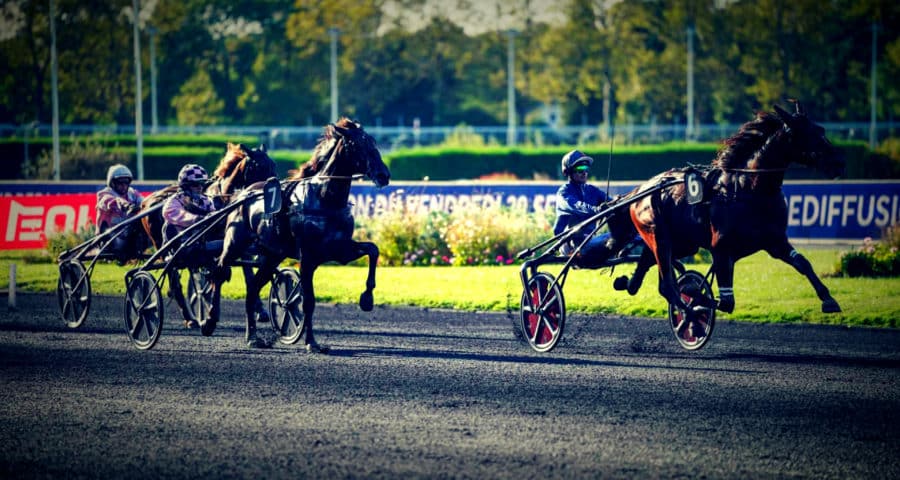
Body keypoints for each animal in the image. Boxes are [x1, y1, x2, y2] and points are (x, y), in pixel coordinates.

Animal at [138, 141, 274, 324]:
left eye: (273, 165)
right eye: (258, 167)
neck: (224, 201)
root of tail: (146, 202)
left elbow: (247, 273)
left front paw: (260, 309)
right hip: (163, 246)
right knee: (174, 280)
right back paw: (188, 317)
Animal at [215, 118, 394, 350]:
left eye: (373, 142)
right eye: (358, 145)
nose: (384, 175)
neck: (325, 198)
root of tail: (243, 194)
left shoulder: (340, 249)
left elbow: (373, 250)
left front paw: (367, 298)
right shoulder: (308, 257)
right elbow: (308, 300)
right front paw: (311, 342)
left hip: (272, 255)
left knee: (252, 288)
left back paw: (252, 337)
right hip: (235, 243)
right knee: (219, 269)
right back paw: (209, 318)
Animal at [616, 101, 848, 334]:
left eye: (821, 130)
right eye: (806, 133)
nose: (838, 162)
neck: (750, 188)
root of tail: (641, 189)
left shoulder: (775, 241)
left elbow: (803, 263)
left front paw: (828, 299)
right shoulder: (720, 248)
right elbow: (726, 301)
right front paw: (694, 294)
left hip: (683, 242)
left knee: (648, 260)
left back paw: (628, 283)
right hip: (659, 236)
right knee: (667, 286)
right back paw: (690, 317)